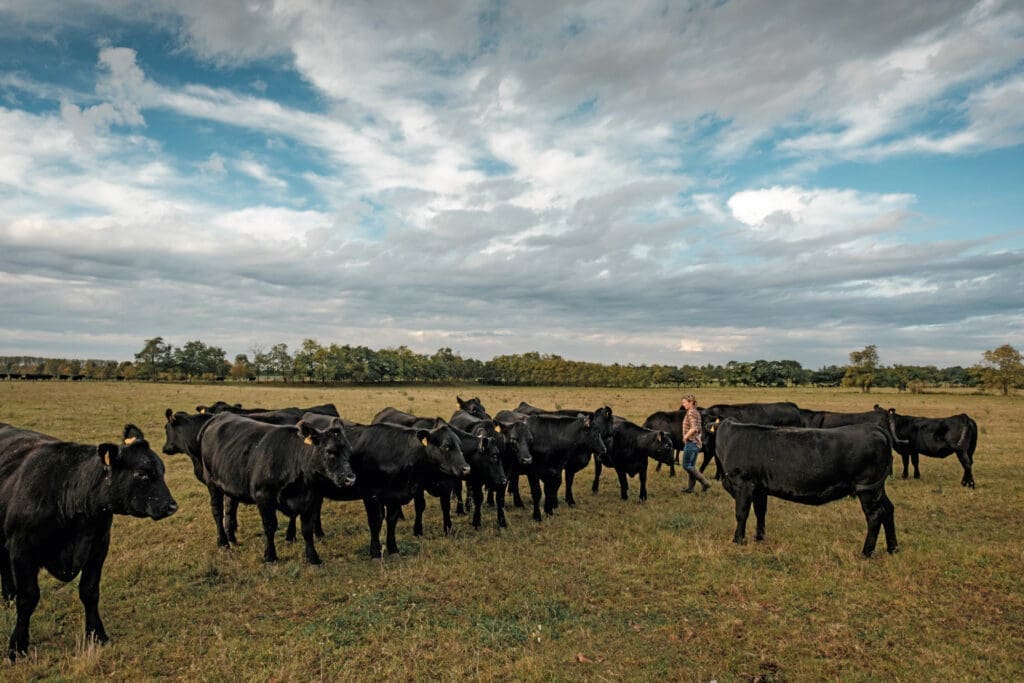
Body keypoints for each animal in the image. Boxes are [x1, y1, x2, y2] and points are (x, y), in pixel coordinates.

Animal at [0, 423, 177, 659]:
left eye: (162, 471)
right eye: (141, 473)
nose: (171, 505)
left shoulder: (98, 547)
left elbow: (90, 591)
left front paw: (97, 634)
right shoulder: (22, 551)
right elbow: (27, 598)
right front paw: (17, 646)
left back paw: (8, 597)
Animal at [196, 411, 356, 565]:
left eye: (349, 451)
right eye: (330, 451)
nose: (350, 478)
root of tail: (221, 415)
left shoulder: (311, 499)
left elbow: (307, 529)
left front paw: (313, 558)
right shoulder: (263, 497)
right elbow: (270, 526)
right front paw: (270, 556)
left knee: (229, 507)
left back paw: (232, 539)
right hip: (212, 482)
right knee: (217, 511)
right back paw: (223, 542)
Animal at [712, 419, 897, 557]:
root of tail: (873, 428)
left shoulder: (743, 483)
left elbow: (741, 513)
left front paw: (737, 540)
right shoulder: (759, 489)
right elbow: (760, 512)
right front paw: (759, 538)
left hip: (867, 488)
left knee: (875, 515)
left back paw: (866, 552)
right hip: (877, 488)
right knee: (888, 509)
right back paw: (892, 548)